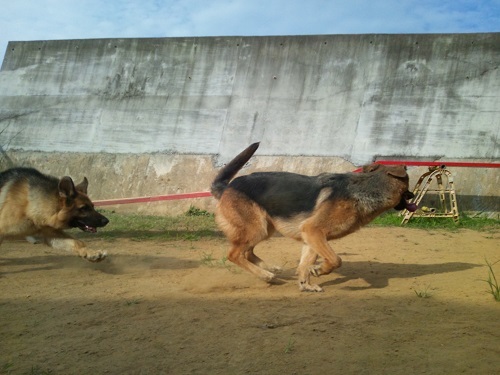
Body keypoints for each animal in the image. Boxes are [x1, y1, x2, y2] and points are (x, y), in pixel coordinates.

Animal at [211, 142, 418, 292]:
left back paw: (270, 269)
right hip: (257, 229)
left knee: (247, 252)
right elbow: (336, 260)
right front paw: (319, 270)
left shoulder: (310, 237)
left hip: (264, 229)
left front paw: (306, 284)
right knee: (234, 254)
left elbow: (305, 264)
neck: (365, 189)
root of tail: (227, 187)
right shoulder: (314, 231)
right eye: (408, 184)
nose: (414, 196)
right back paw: (265, 275)